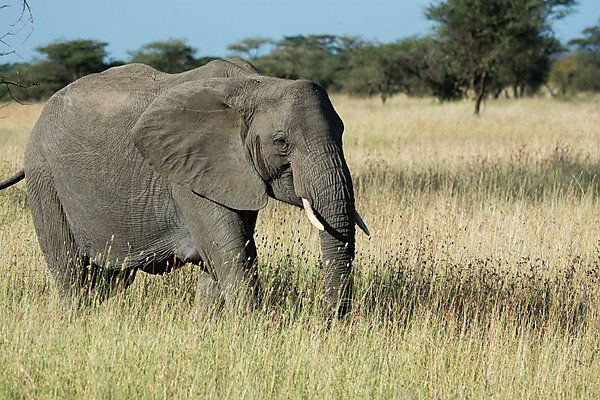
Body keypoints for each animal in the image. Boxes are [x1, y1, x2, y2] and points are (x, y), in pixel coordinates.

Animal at [0, 58, 368, 316]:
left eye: (343, 132)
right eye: (282, 143)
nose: (326, 321)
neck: (253, 86)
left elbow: (220, 253)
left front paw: (208, 330)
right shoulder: (189, 169)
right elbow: (230, 250)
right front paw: (251, 331)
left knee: (109, 277)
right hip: (44, 175)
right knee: (69, 267)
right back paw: (73, 320)